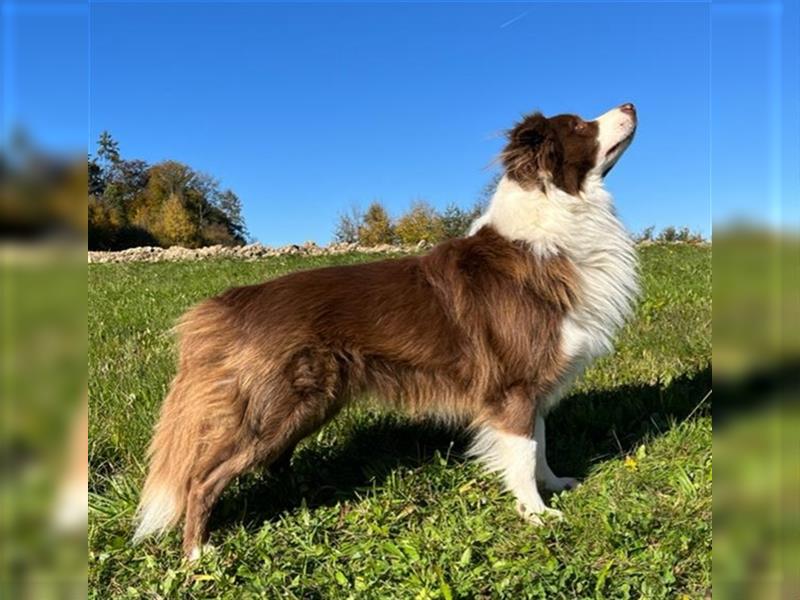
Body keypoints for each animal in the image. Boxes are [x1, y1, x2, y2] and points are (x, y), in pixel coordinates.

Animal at [134, 102, 640, 556]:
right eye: (579, 126)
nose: (632, 104)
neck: (555, 220)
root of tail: (228, 304)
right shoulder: (514, 385)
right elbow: (523, 452)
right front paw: (537, 514)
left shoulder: (534, 383)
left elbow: (541, 444)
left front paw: (554, 484)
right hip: (273, 408)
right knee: (202, 479)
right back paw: (198, 555)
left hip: (307, 405)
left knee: (271, 463)